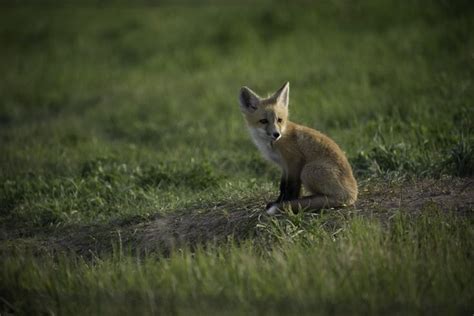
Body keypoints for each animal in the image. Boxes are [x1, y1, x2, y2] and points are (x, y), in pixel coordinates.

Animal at [239, 81, 358, 215]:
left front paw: (287, 203)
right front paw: (278, 201)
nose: (276, 134)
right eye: (263, 121)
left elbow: (291, 186)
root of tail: (353, 193)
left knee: (332, 198)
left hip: (307, 171)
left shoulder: (294, 161)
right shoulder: (284, 166)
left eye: (279, 120)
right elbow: (282, 186)